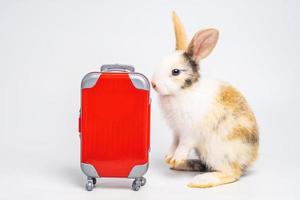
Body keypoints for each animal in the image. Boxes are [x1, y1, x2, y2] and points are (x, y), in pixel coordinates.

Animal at [151, 11, 258, 188]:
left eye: (175, 71)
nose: (153, 84)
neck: (183, 91)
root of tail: (248, 161)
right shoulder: (176, 131)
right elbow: (174, 143)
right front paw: (169, 158)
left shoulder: (189, 132)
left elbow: (183, 145)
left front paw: (176, 158)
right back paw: (184, 166)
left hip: (218, 151)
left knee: (232, 173)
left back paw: (201, 180)